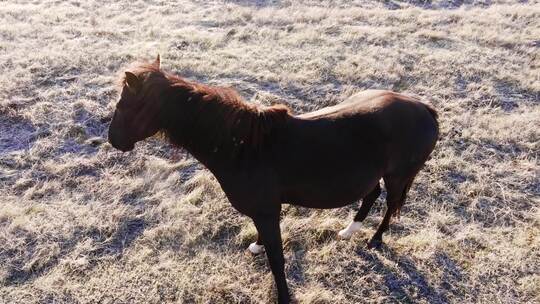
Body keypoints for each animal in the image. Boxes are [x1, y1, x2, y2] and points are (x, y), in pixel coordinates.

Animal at [106, 55, 438, 302]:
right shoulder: (262, 212)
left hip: (398, 176)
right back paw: (348, 231)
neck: (243, 148)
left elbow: (277, 261)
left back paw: (375, 239)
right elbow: (264, 241)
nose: (113, 140)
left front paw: (283, 296)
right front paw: (256, 246)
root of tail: (425, 108)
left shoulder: (268, 212)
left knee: (391, 204)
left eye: (124, 105)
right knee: (371, 194)